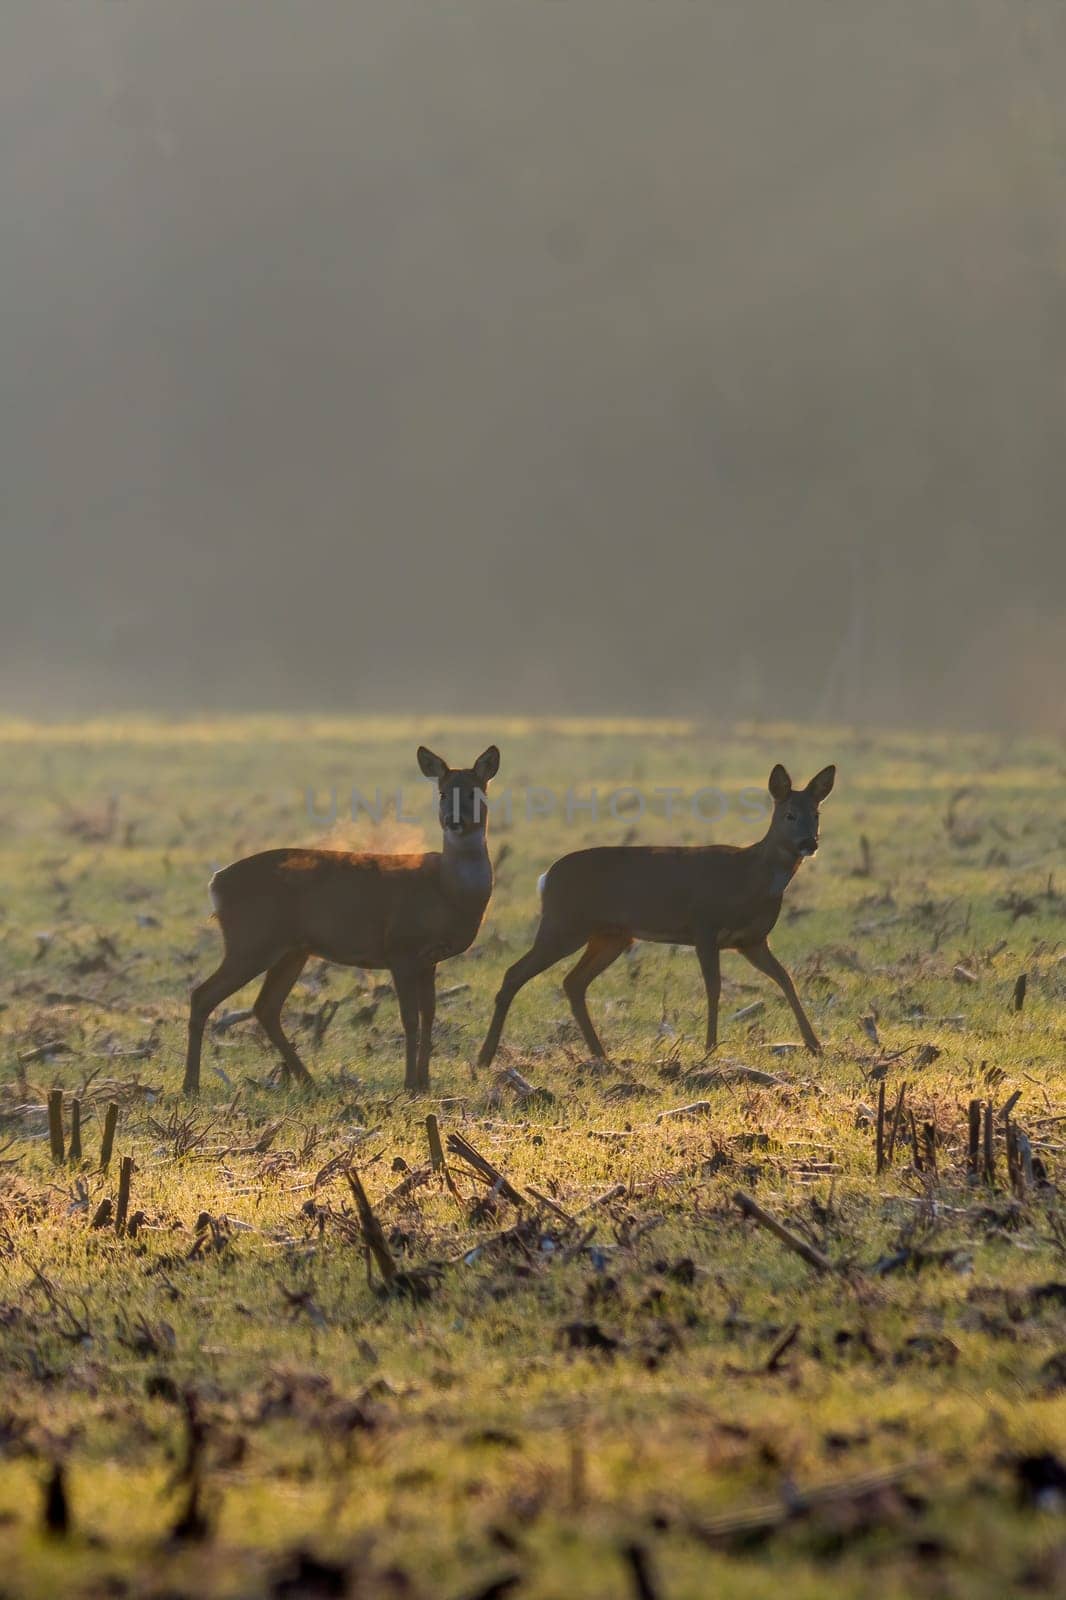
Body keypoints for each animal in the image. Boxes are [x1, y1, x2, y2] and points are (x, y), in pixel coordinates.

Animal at [182, 739, 499, 1094]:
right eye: (443, 793)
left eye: (474, 792)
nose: (453, 819)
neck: (447, 891)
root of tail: (216, 882)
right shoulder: (400, 948)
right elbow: (409, 1019)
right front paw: (408, 1084)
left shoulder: (429, 959)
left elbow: (430, 1015)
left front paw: (425, 1082)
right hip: (251, 940)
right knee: (203, 995)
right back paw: (191, 1085)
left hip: (291, 949)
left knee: (265, 1007)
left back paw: (308, 1080)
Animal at [476, 758, 832, 1068]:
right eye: (789, 815)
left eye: (816, 814)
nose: (809, 843)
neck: (751, 877)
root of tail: (546, 878)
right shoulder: (704, 925)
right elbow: (713, 986)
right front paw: (710, 1047)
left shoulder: (753, 941)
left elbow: (786, 979)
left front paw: (815, 1045)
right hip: (563, 923)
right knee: (515, 974)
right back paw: (485, 1057)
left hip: (610, 936)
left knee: (573, 981)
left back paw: (600, 1054)